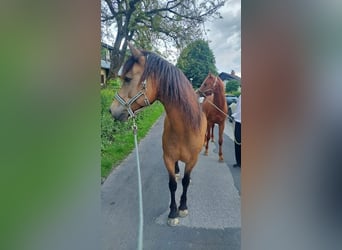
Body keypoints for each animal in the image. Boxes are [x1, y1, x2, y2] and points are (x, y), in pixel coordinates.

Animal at [109, 42, 206, 227]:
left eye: (128, 79)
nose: (111, 110)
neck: (186, 129)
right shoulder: (167, 157)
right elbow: (172, 184)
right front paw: (173, 213)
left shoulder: (192, 160)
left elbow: (185, 182)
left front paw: (183, 207)